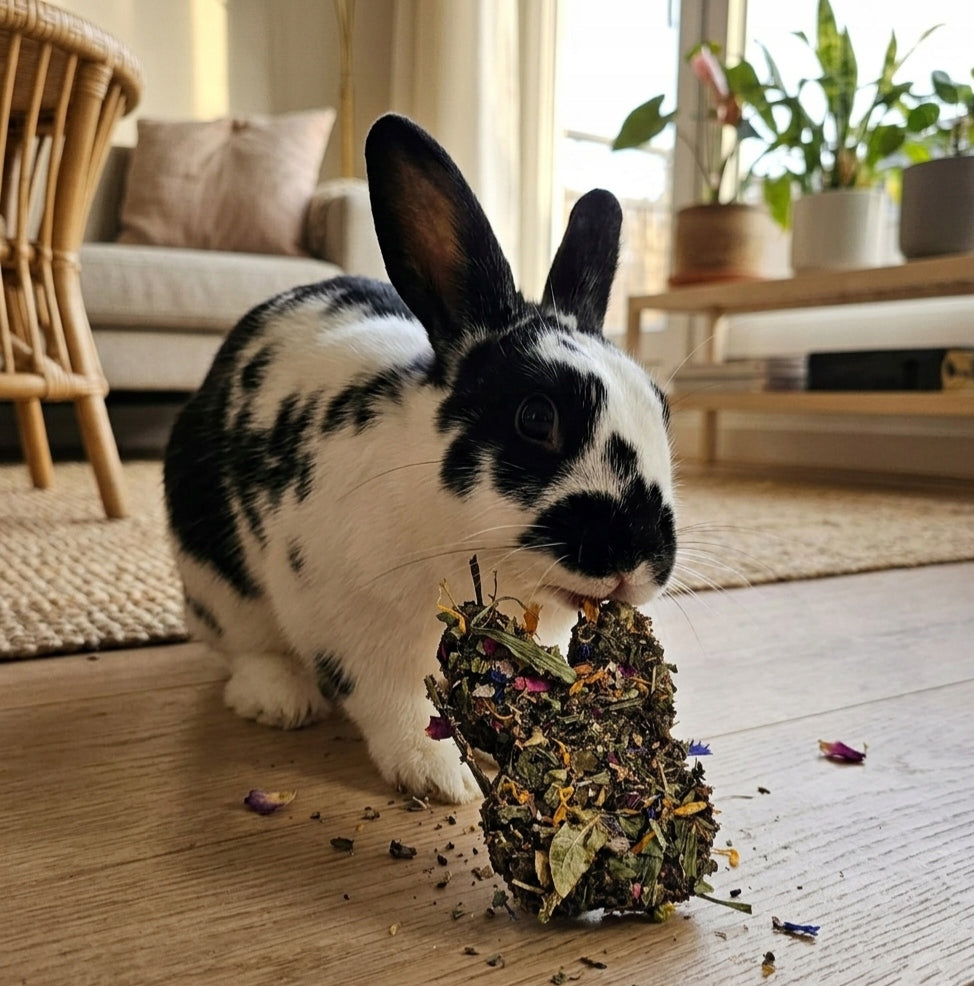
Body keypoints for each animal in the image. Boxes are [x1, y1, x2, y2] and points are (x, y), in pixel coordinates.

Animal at [163, 113, 677, 805]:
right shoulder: (351, 627)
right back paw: (279, 700)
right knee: (246, 647)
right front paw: (443, 776)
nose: (638, 558)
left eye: (662, 408)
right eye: (535, 418)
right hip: (216, 584)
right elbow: (396, 704)